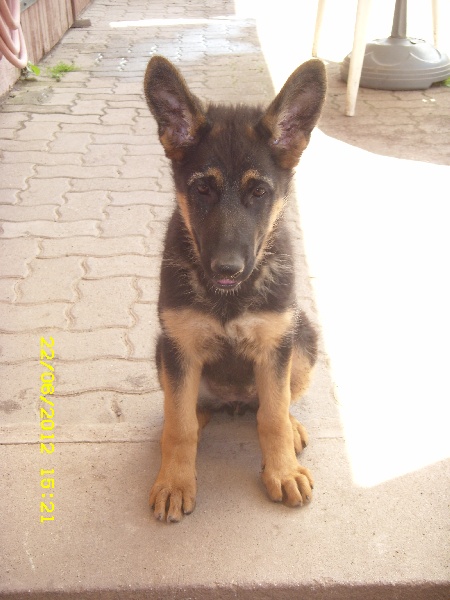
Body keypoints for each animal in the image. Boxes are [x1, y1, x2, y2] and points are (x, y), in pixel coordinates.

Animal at [144, 56, 326, 522]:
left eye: (258, 191)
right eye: (202, 189)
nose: (227, 269)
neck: (228, 299)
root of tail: (233, 402)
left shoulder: (277, 344)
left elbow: (273, 417)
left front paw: (282, 471)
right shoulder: (179, 346)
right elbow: (180, 427)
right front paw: (175, 480)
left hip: (303, 336)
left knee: (275, 402)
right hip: (162, 351)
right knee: (186, 410)